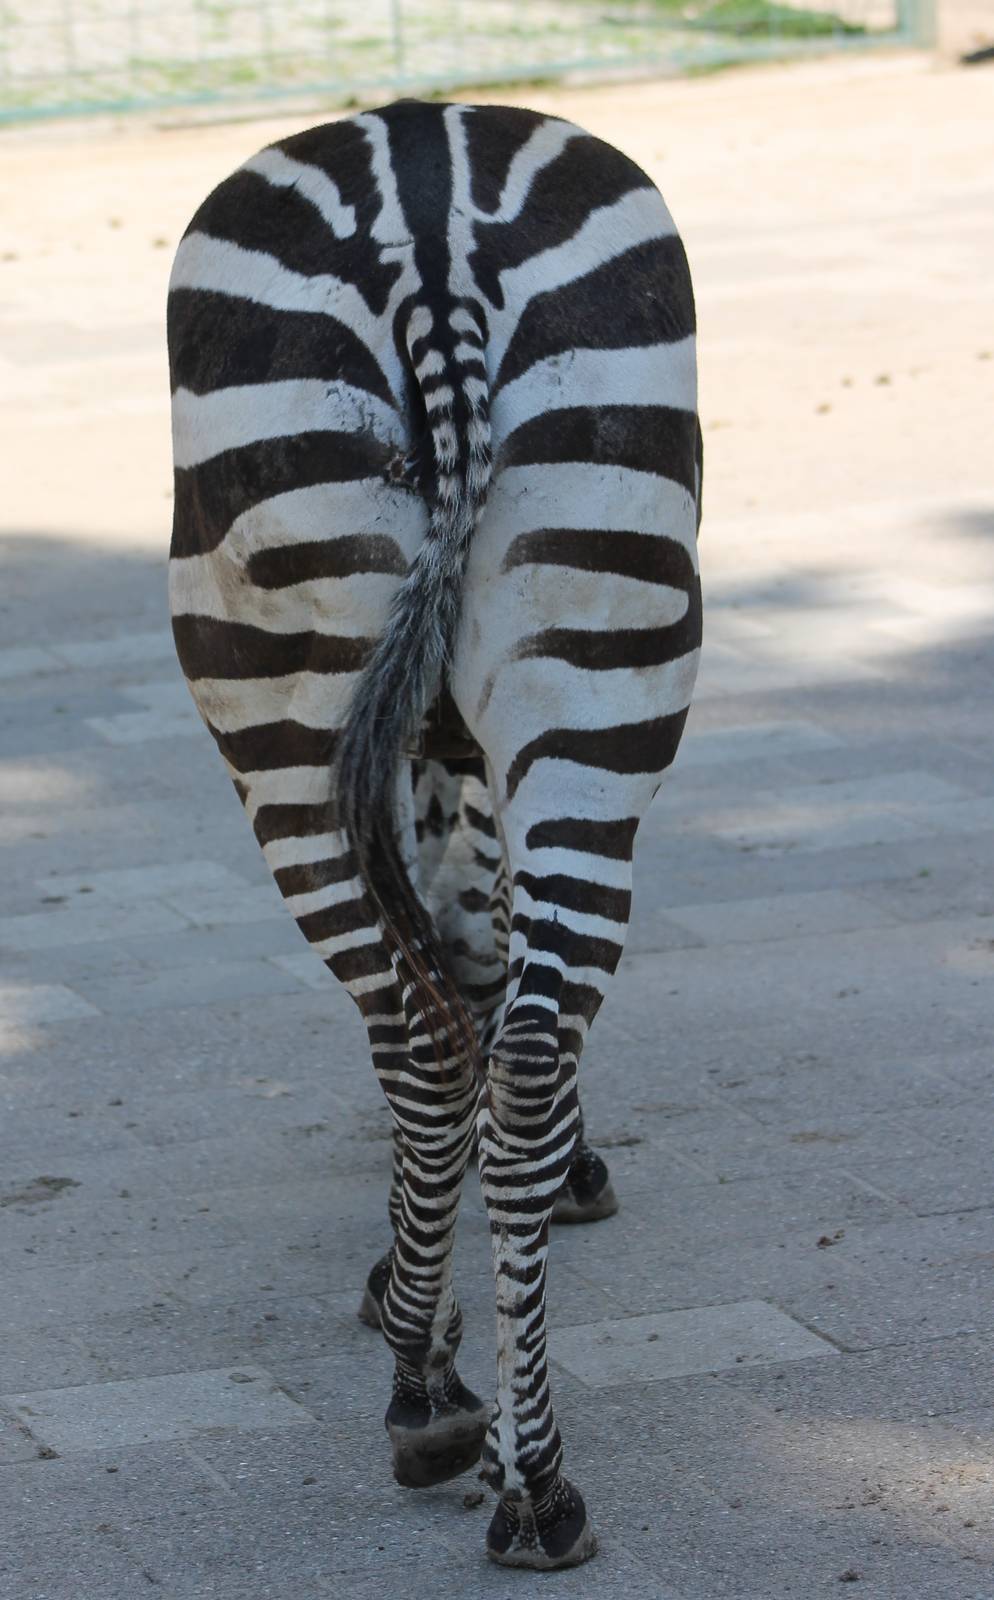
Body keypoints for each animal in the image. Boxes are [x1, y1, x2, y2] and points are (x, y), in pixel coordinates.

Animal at [168, 98, 701, 1571]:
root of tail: (426, 213)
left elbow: (453, 959)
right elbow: (492, 944)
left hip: (277, 718)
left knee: (417, 1037)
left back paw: (423, 1390)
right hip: (593, 650)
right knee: (513, 1048)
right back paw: (534, 1481)